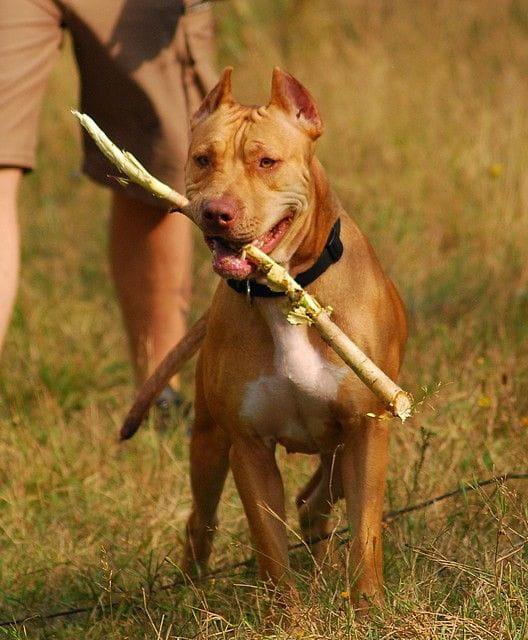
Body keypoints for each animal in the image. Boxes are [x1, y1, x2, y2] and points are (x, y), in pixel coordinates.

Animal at [179, 67, 406, 608]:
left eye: (267, 161)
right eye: (203, 158)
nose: (216, 211)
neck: (284, 292)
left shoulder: (367, 432)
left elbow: (365, 532)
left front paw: (369, 608)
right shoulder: (249, 447)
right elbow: (270, 546)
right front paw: (286, 616)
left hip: (338, 451)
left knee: (314, 502)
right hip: (208, 443)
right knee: (202, 519)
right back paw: (189, 591)